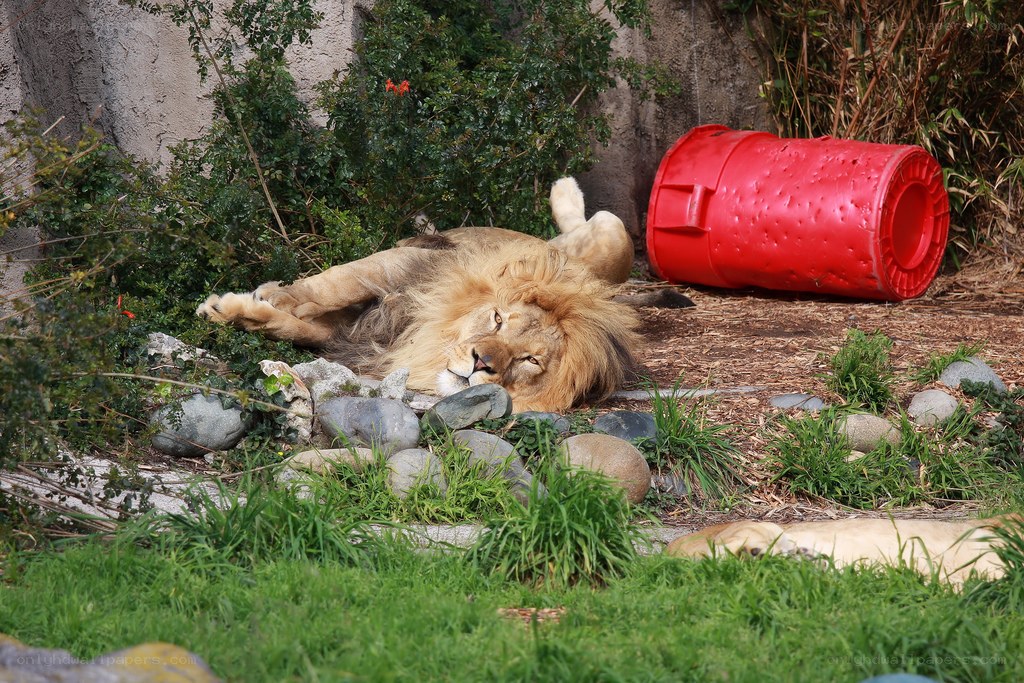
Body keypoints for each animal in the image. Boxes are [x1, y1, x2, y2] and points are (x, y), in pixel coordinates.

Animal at [196, 178, 640, 413]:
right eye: (497, 319)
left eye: (529, 360)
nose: (481, 363)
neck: (419, 334)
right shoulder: (404, 264)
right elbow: (335, 283)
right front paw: (242, 305)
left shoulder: (354, 334)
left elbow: (298, 326)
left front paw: (245, 307)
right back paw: (564, 189)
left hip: (613, 244)